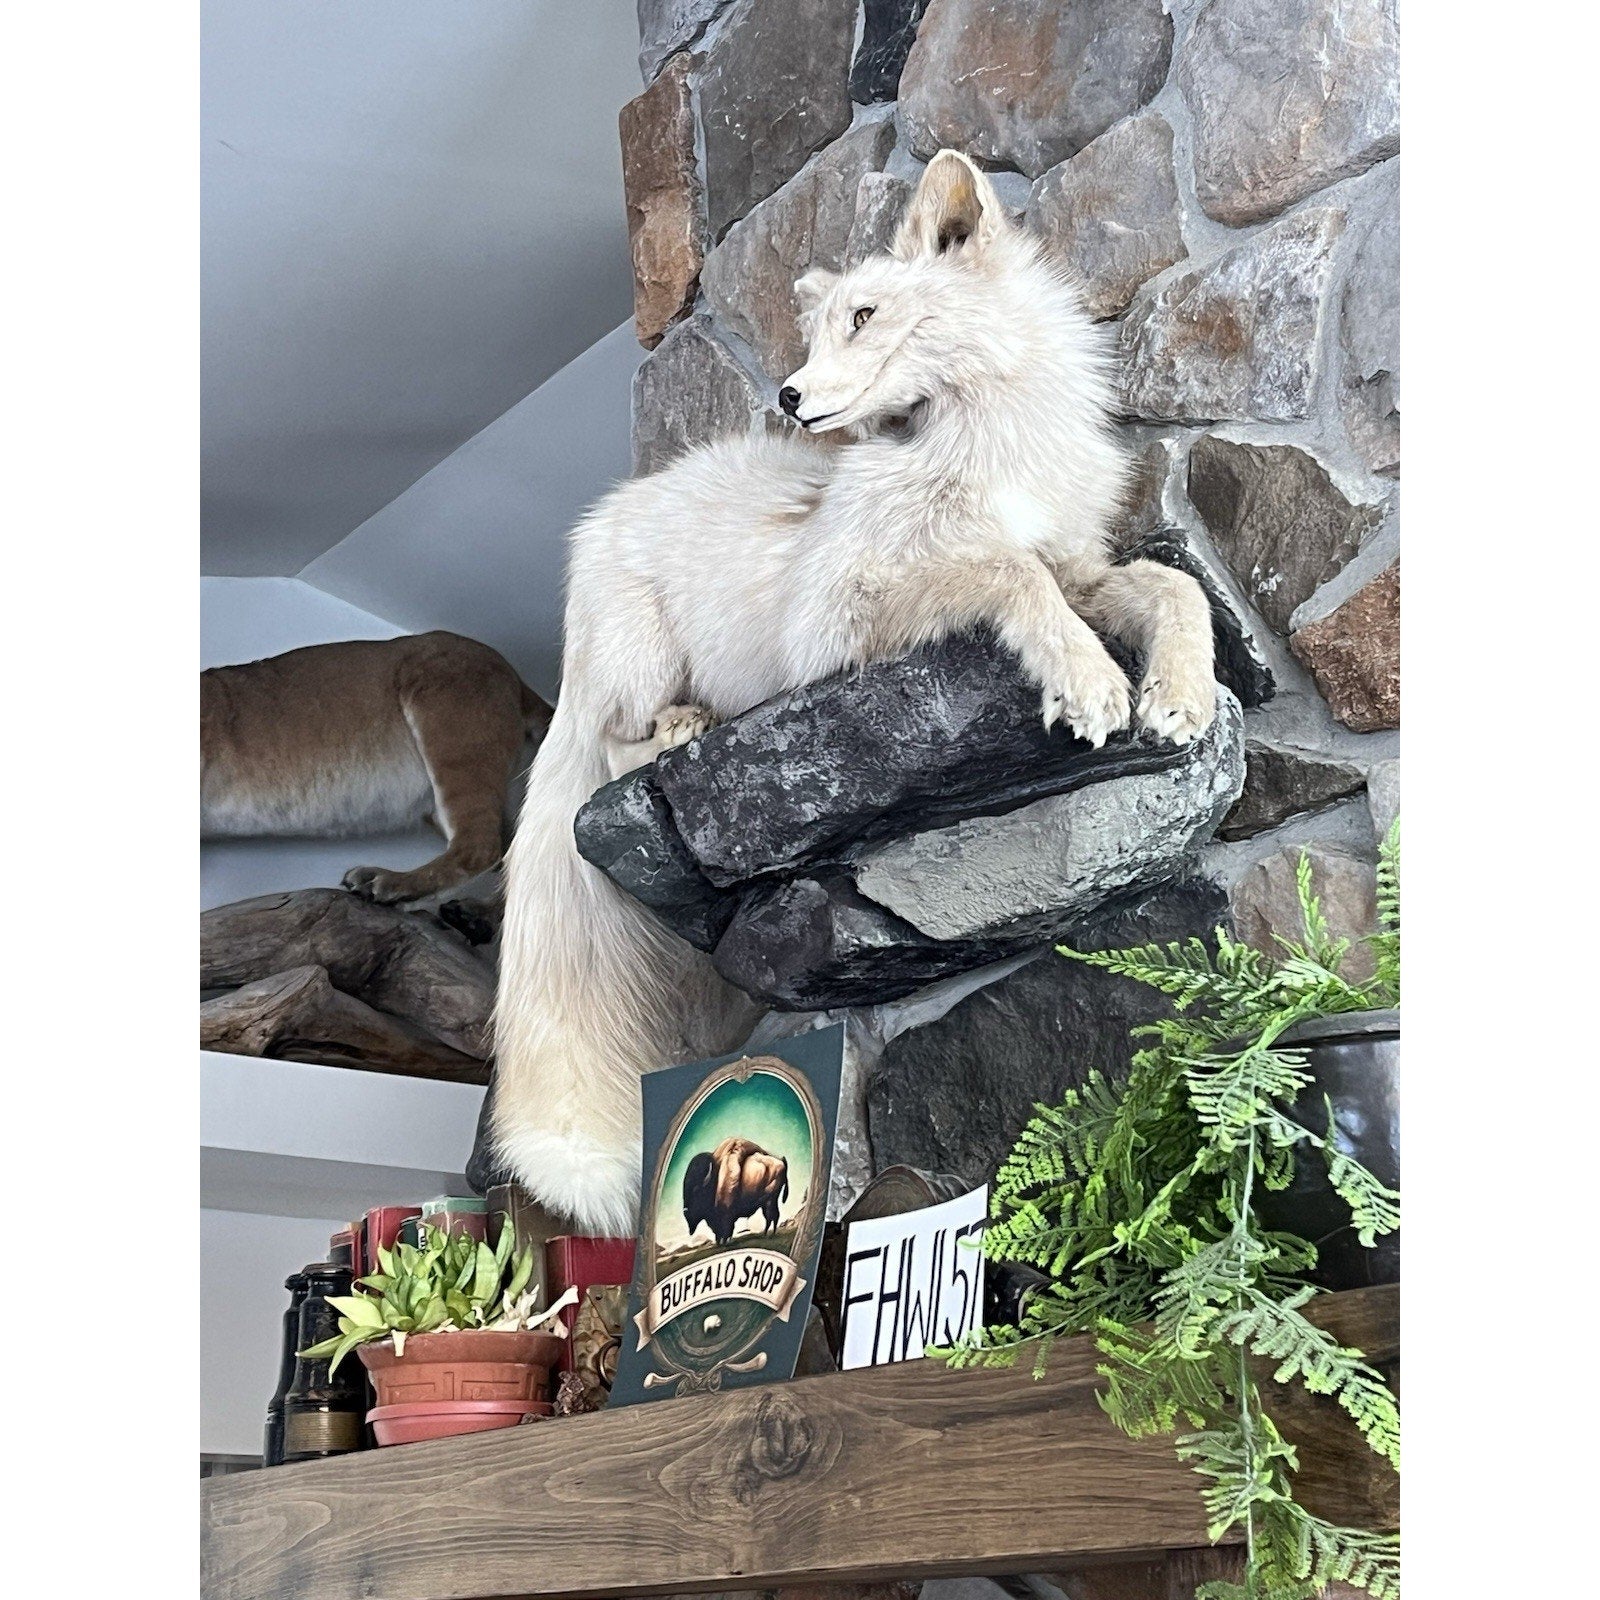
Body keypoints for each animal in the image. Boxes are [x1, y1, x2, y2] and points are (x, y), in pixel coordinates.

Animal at [489, 150, 1217, 1234]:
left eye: (864, 318)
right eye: (815, 332)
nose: (789, 397)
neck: (985, 447)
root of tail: (598, 532)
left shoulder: (1085, 567)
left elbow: (1173, 587)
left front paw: (1182, 692)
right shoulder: (842, 616)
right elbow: (1010, 575)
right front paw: (1088, 683)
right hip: (633, 664)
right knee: (614, 747)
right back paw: (681, 730)